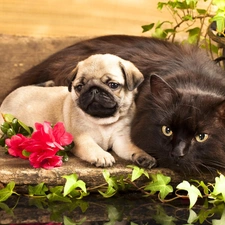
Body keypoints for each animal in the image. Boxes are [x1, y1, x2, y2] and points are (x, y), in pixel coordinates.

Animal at [0, 53, 156, 168]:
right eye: (79, 87)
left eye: (113, 85)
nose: (94, 90)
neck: (103, 121)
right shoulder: (82, 137)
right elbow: (92, 147)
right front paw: (102, 155)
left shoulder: (121, 140)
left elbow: (133, 148)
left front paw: (144, 156)